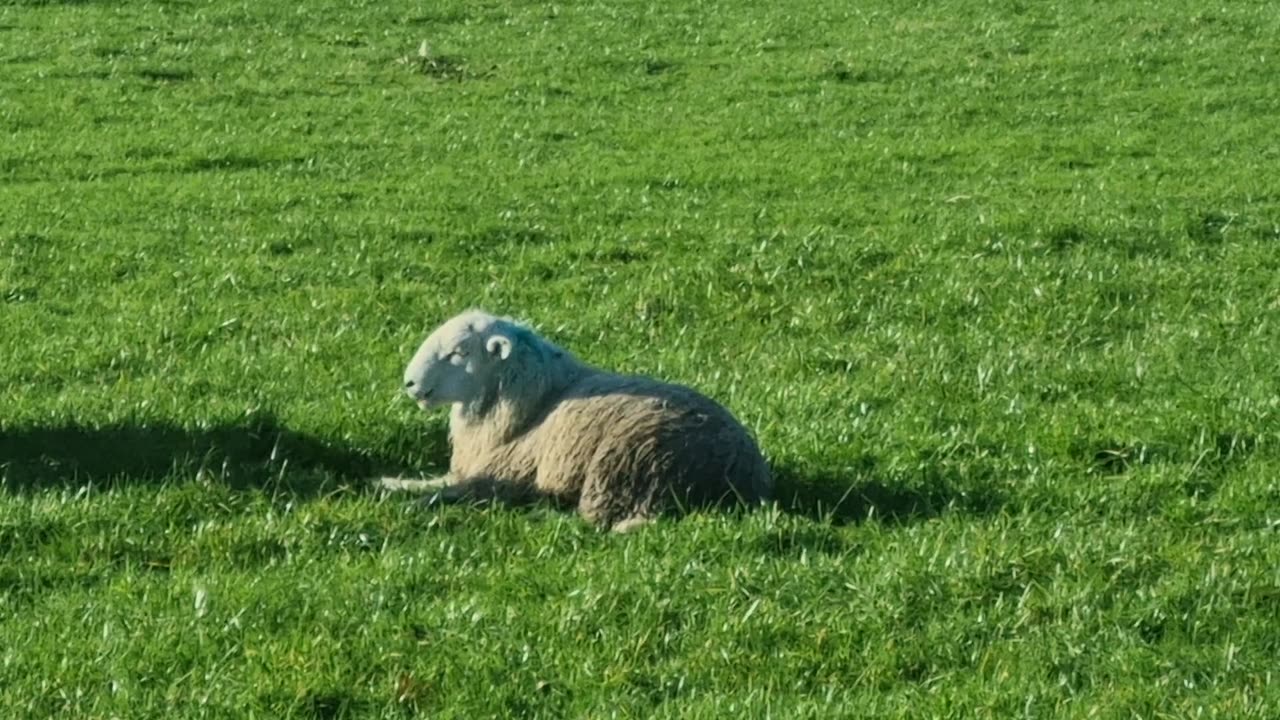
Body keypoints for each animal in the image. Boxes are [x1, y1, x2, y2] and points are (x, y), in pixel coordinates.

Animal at [381, 309, 772, 532]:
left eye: (459, 352)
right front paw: (391, 483)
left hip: (622, 467)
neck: (537, 400)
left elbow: (449, 490)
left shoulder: (504, 472)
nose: (409, 383)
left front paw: (408, 498)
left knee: (596, 521)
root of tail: (741, 473)